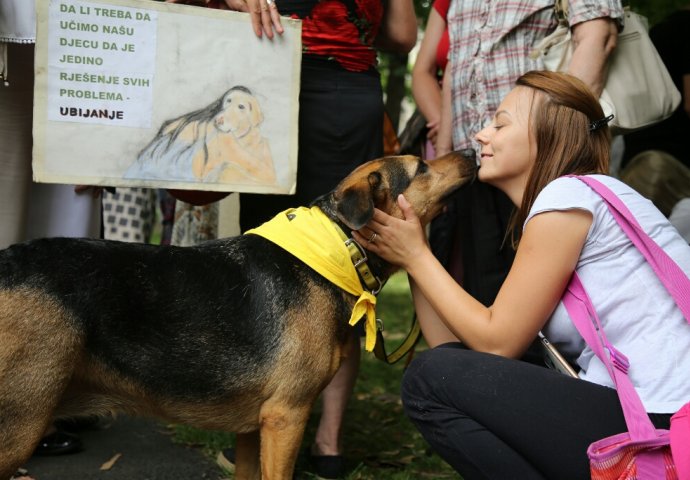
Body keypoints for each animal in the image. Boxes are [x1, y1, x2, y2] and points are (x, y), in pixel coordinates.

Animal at [0, 149, 472, 476]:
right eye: (421, 167)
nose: (471, 150)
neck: (337, 244)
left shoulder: (252, 427)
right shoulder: (285, 416)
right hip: (20, 420)